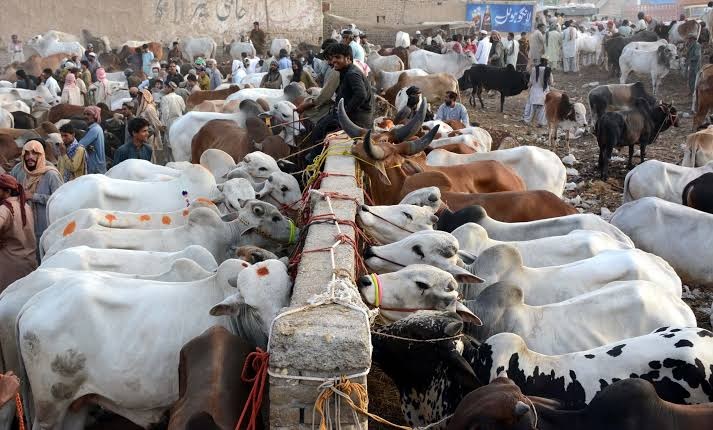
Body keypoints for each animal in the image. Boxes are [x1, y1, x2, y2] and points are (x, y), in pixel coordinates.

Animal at [18, 258, 292, 430]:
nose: (274, 340)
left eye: (287, 292)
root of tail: (32, 303)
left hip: (77, 403)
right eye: (252, 308)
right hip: (50, 405)